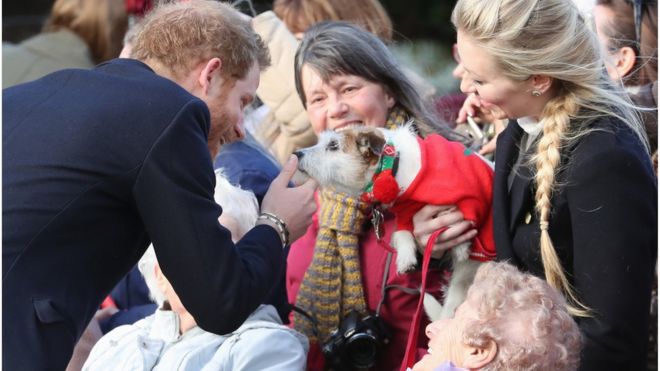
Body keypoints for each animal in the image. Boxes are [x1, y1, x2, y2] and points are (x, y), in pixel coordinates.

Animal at [296, 124, 496, 320]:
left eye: (333, 145)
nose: (297, 153)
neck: (391, 169)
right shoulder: (405, 213)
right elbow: (402, 233)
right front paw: (406, 259)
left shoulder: (463, 194)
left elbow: (457, 214)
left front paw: (461, 247)